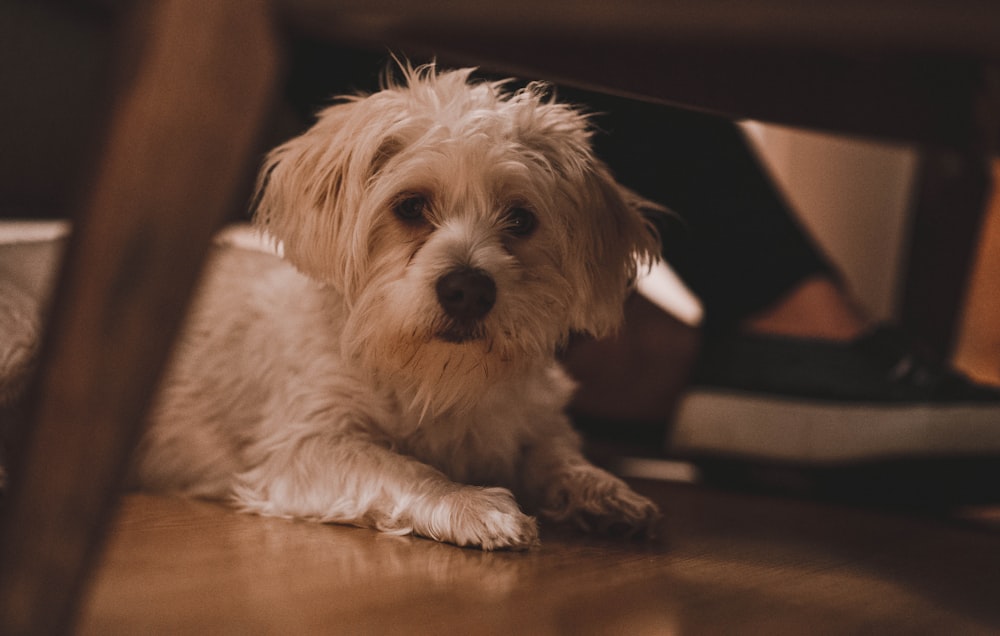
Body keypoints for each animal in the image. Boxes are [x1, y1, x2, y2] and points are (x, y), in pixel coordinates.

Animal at [135, 66, 664, 552]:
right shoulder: (308, 444)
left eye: (521, 219)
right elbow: (402, 466)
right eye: (410, 206)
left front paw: (605, 492)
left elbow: (557, 454)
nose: (468, 290)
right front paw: (470, 502)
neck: (434, 379)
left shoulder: (534, 418)